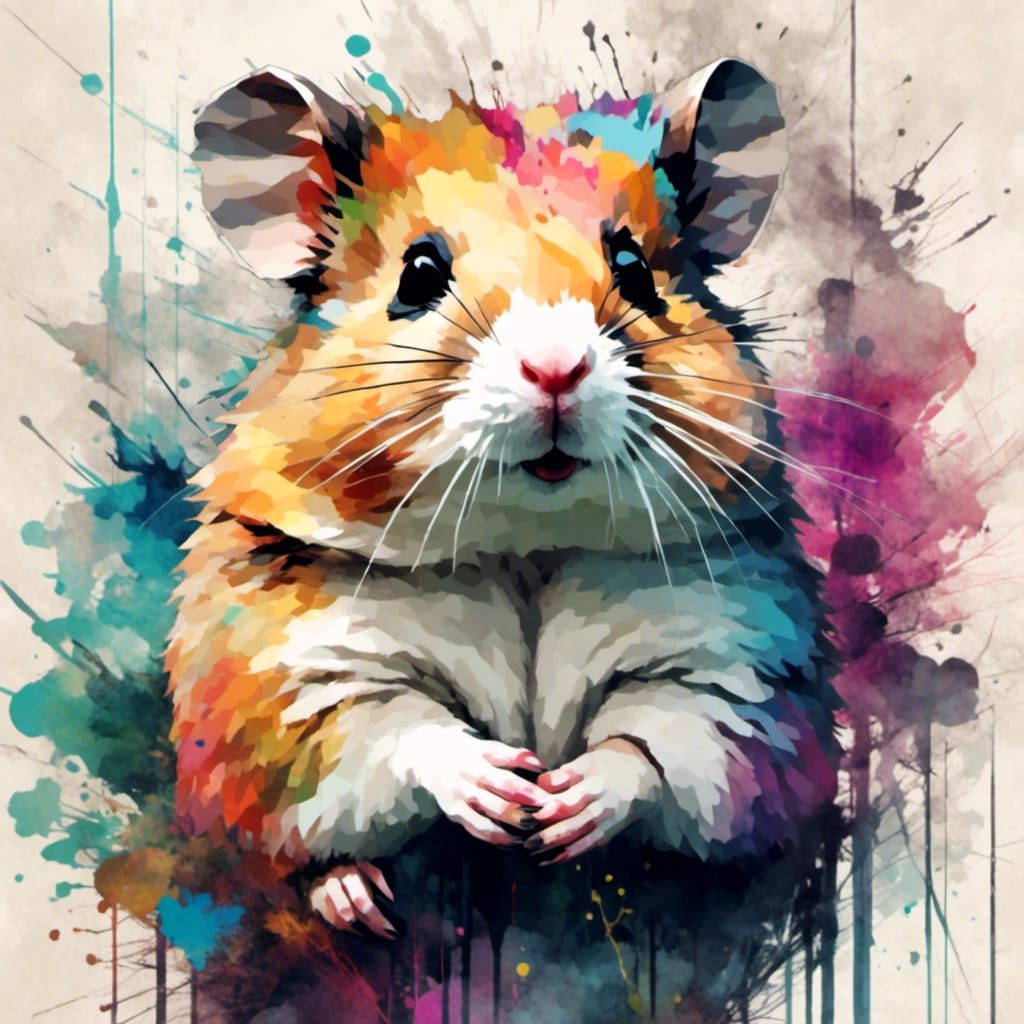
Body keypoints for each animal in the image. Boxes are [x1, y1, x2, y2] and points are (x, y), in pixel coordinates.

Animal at [167, 59, 837, 936]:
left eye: (635, 271)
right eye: (419, 274)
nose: (556, 369)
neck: (526, 546)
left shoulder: (737, 666)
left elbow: (657, 740)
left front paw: (559, 805)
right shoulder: (292, 671)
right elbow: (399, 728)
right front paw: (503, 787)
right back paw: (357, 901)